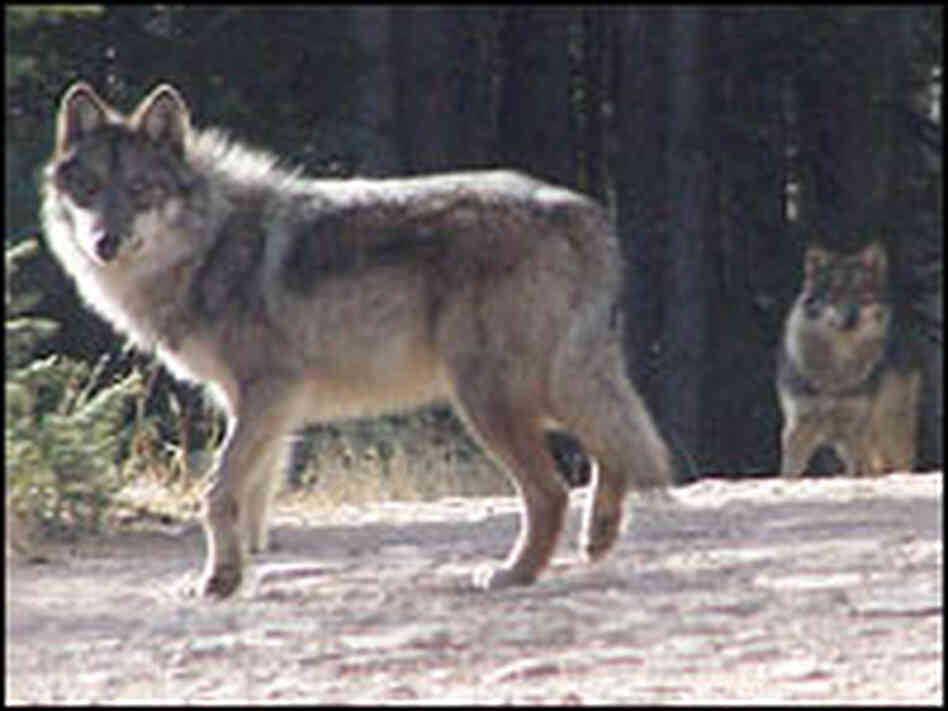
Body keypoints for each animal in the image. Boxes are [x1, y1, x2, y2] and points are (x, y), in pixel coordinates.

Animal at [42, 81, 670, 598]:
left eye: (141, 190)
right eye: (89, 190)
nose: (105, 242)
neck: (209, 246)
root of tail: (579, 210)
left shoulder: (269, 391)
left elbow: (217, 491)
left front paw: (218, 580)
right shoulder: (258, 405)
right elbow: (251, 499)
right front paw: (240, 571)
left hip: (488, 397)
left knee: (553, 489)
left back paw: (513, 574)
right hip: (540, 389)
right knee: (610, 447)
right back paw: (598, 538)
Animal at [777, 242, 921, 477]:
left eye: (861, 293)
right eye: (834, 294)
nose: (850, 318)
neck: (837, 369)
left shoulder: (854, 431)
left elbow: (857, 472)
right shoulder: (799, 427)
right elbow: (790, 473)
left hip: (889, 432)